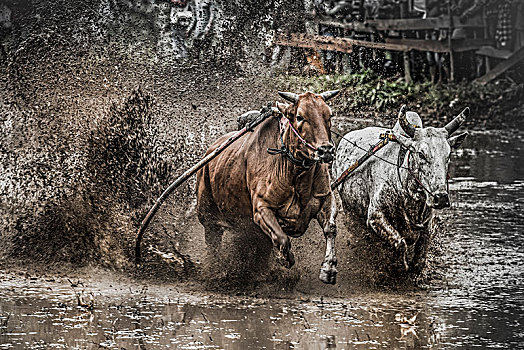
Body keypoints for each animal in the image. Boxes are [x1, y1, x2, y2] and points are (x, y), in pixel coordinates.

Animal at [196, 90, 340, 284]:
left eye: (329, 115)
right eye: (300, 116)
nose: (326, 150)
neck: (294, 171)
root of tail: (209, 152)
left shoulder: (326, 197)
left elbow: (330, 228)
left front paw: (329, 269)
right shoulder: (261, 209)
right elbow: (282, 239)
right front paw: (284, 258)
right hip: (208, 218)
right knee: (213, 244)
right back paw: (217, 270)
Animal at [334, 105, 468, 274]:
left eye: (448, 154)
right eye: (421, 154)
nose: (441, 198)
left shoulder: (427, 224)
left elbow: (420, 257)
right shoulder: (375, 215)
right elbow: (400, 243)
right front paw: (400, 266)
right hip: (348, 209)